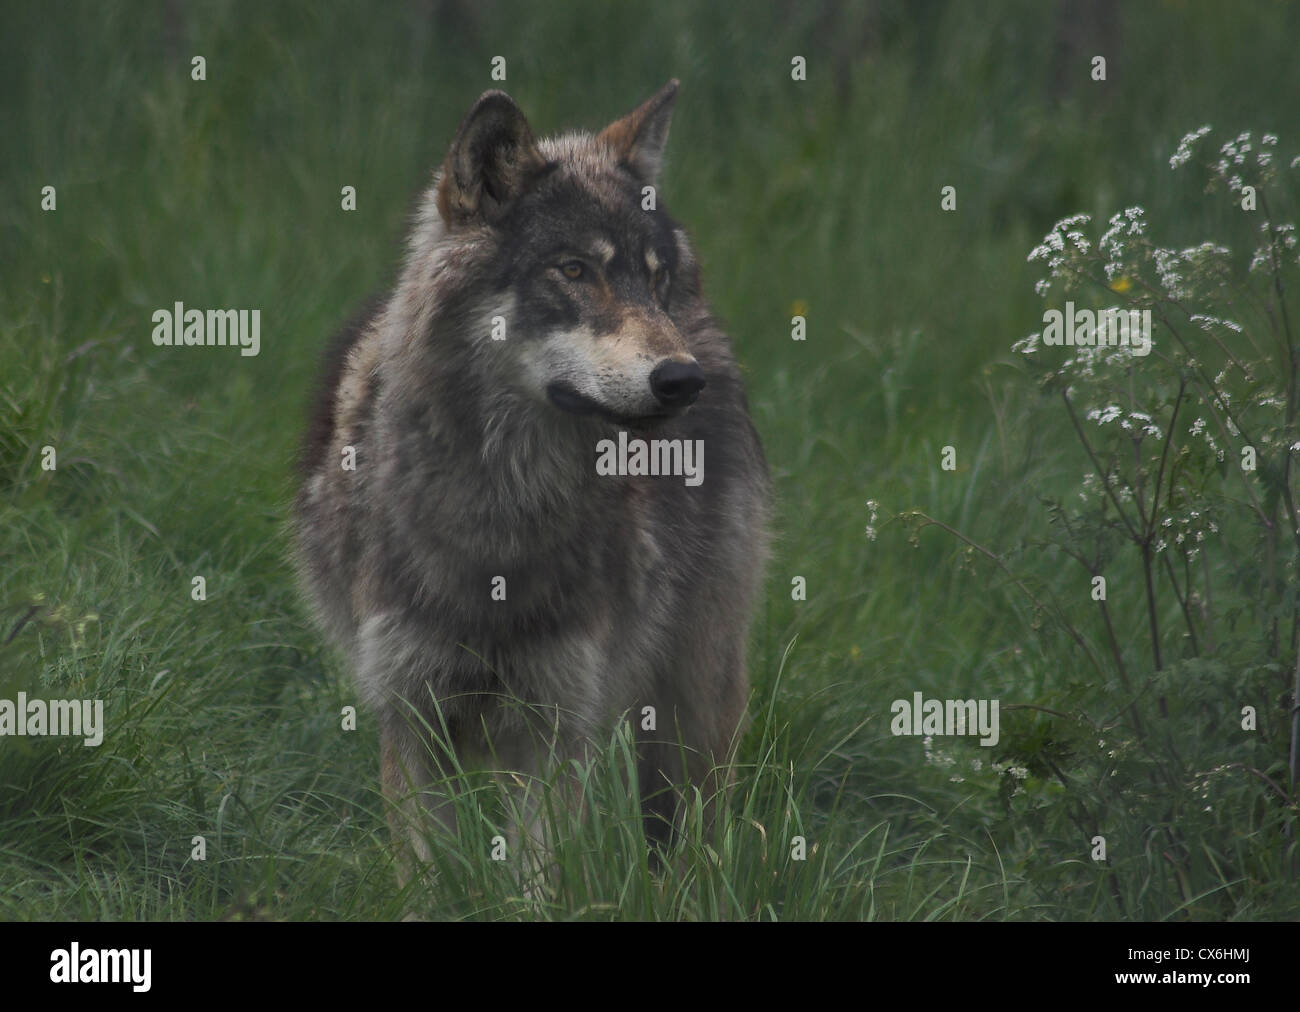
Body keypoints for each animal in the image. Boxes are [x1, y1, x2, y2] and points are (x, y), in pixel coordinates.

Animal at [293, 80, 770, 882]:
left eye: (654, 279)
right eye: (574, 271)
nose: (682, 380)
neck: (499, 510)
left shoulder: (553, 729)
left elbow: (536, 882)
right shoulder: (412, 720)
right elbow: (429, 881)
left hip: (695, 701)